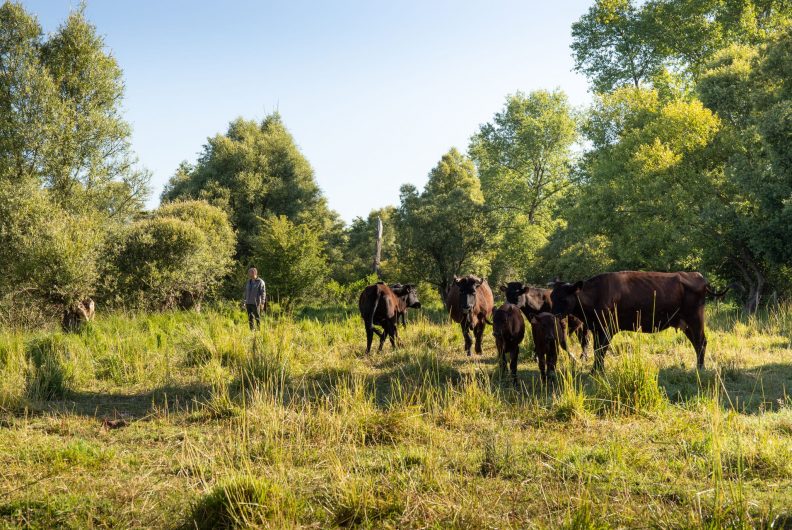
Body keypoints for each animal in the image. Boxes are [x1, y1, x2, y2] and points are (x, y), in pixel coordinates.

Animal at [552, 270, 732, 370]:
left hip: (695, 319)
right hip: (687, 324)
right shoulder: (597, 329)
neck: (595, 293)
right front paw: (596, 370)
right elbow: (597, 351)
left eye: (564, 298)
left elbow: (600, 351)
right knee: (697, 343)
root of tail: (698, 276)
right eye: (553, 296)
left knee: (701, 342)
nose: (553, 315)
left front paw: (597, 371)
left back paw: (700, 368)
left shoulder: (607, 329)